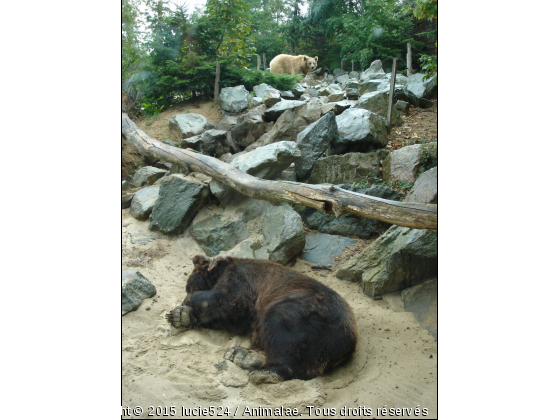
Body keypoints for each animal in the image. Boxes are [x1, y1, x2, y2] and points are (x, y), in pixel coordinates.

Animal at [166, 254, 358, 386]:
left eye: (189, 286)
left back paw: (263, 371)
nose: (183, 300)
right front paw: (180, 315)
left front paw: (187, 305)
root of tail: (348, 343)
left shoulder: (242, 279)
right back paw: (243, 355)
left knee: (280, 323)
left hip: (312, 315)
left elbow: (229, 301)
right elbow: (229, 317)